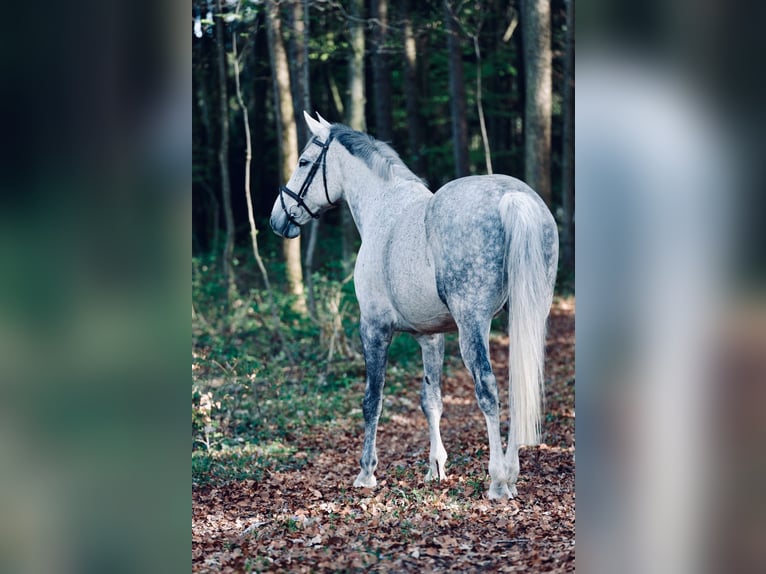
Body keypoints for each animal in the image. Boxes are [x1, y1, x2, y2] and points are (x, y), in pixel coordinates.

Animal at [270, 111, 560, 500]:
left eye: (303, 162)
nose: (277, 218)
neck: (383, 206)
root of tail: (512, 197)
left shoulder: (374, 327)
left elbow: (372, 399)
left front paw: (366, 472)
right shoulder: (431, 336)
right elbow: (431, 400)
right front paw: (435, 468)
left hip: (472, 324)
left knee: (487, 389)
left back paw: (499, 479)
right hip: (527, 316)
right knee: (517, 385)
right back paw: (511, 474)